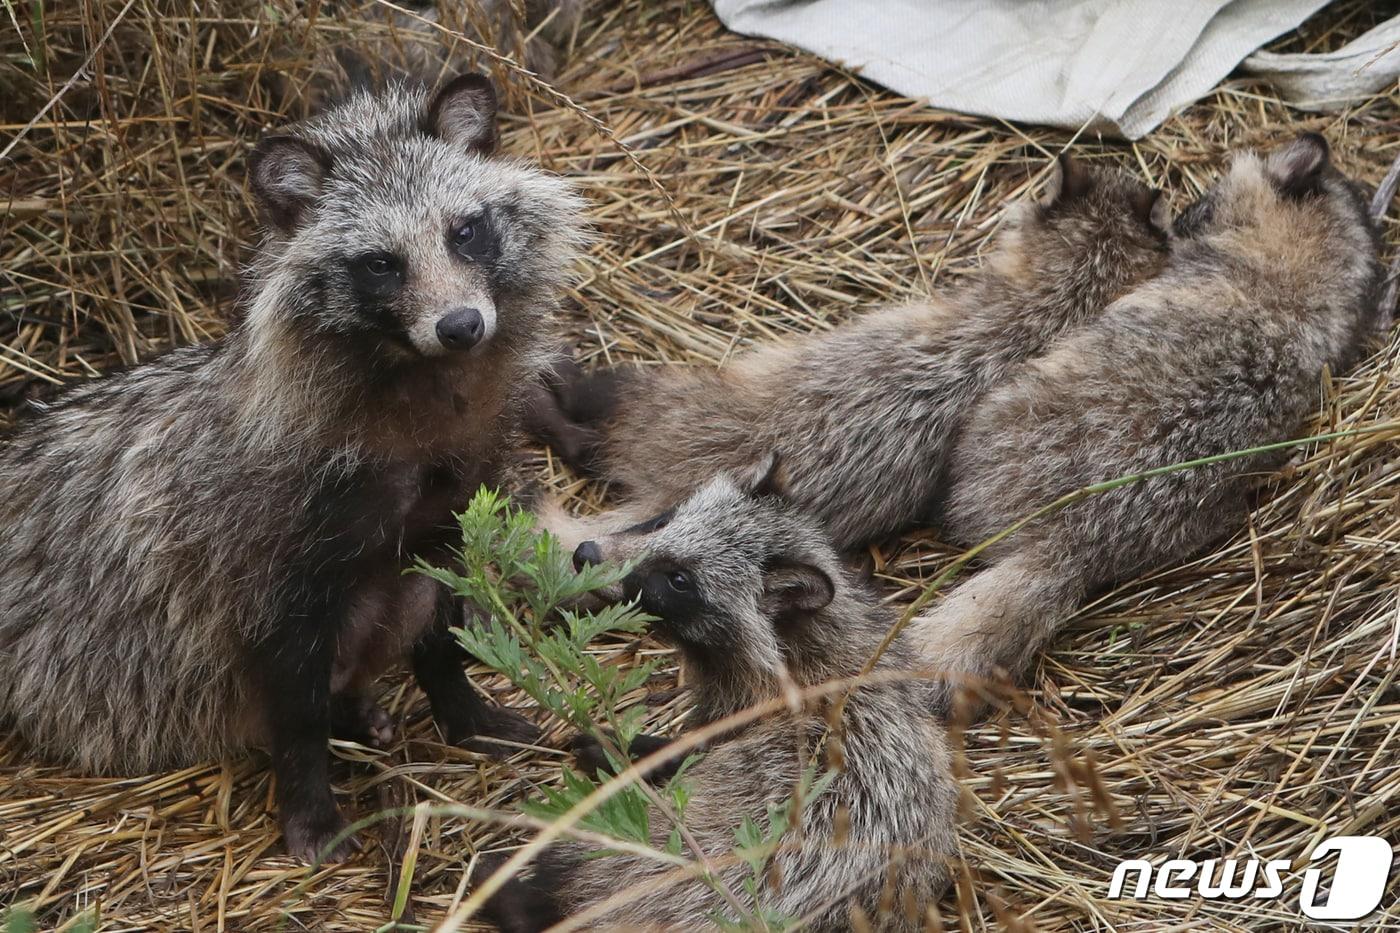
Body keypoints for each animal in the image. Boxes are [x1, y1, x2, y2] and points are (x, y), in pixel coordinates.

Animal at [0, 76, 585, 862]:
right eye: (381, 263)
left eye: (464, 231)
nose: (461, 325)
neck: (422, 397)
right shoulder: (268, 560)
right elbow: (294, 704)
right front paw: (310, 807)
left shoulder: (456, 503)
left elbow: (439, 628)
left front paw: (463, 710)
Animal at [484, 456, 963, 930]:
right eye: (664, 519)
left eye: (678, 580)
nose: (585, 554)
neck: (808, 654)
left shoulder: (742, 720)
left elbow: (689, 753)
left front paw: (630, 752)